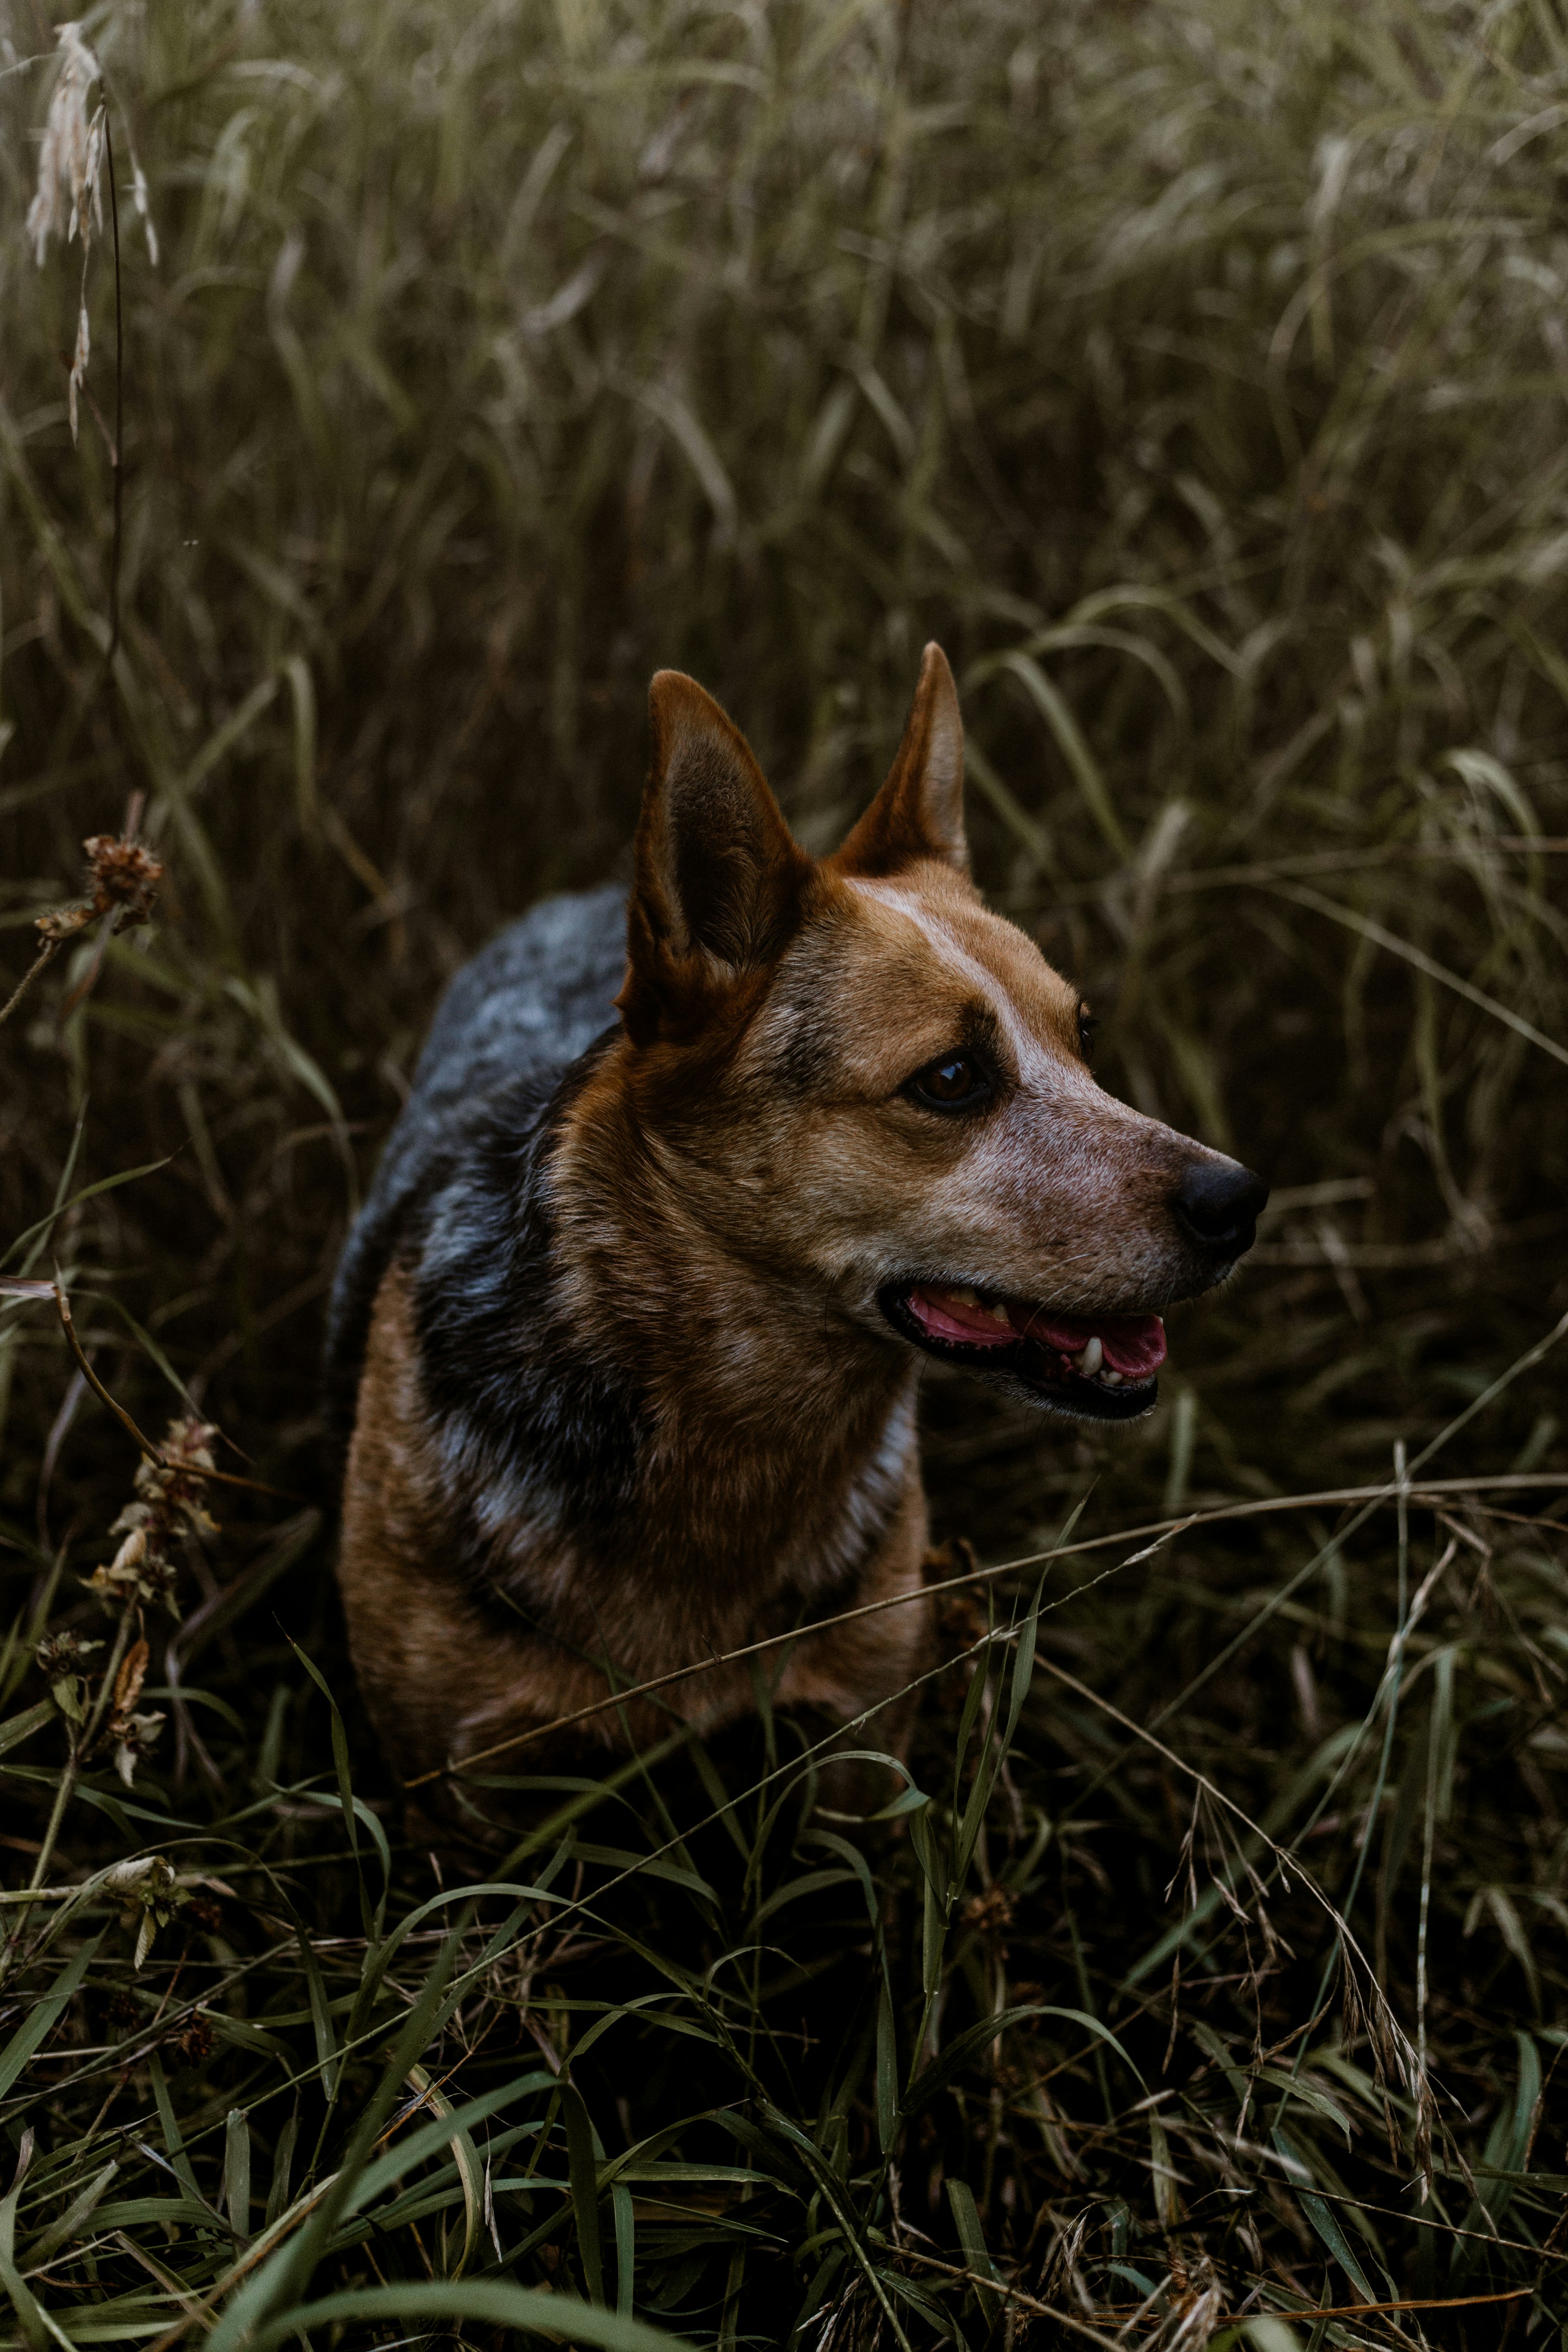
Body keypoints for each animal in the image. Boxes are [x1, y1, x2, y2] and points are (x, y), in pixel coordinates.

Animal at [324, 644, 1269, 1816]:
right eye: (951, 1078)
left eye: (1082, 1037)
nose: (1239, 1200)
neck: (735, 1429)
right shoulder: (457, 1782)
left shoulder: (857, 1747)